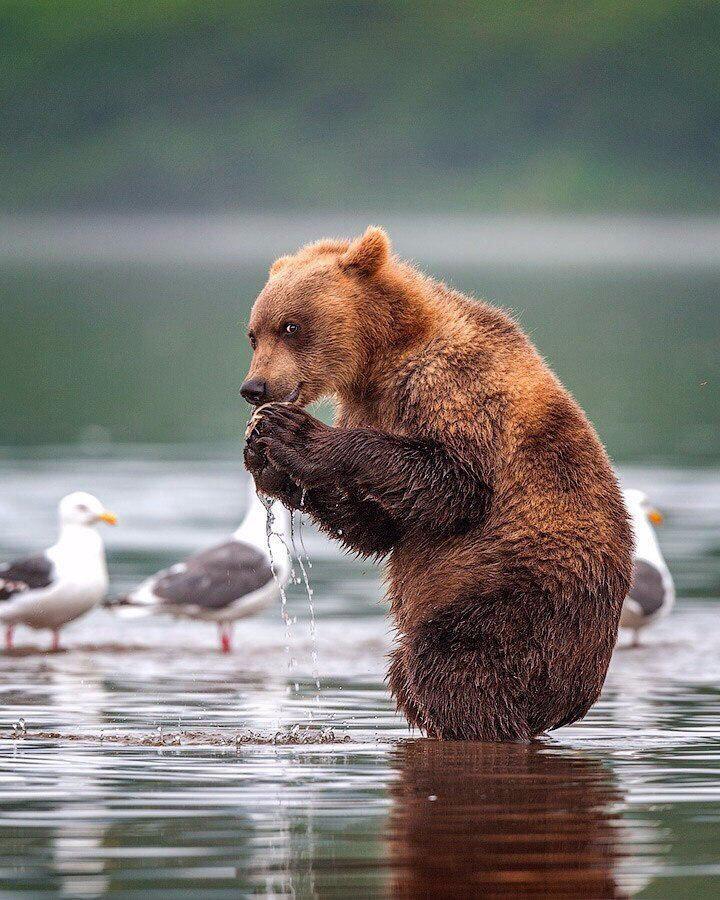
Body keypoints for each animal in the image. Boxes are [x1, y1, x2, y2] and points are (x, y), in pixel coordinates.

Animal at [240, 225, 632, 740]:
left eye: (291, 326)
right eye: (253, 333)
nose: (254, 388)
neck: (382, 356)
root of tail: (576, 696)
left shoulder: (452, 386)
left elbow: (453, 486)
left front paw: (293, 434)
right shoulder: (369, 403)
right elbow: (379, 525)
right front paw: (264, 457)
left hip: (521, 590)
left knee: (454, 666)